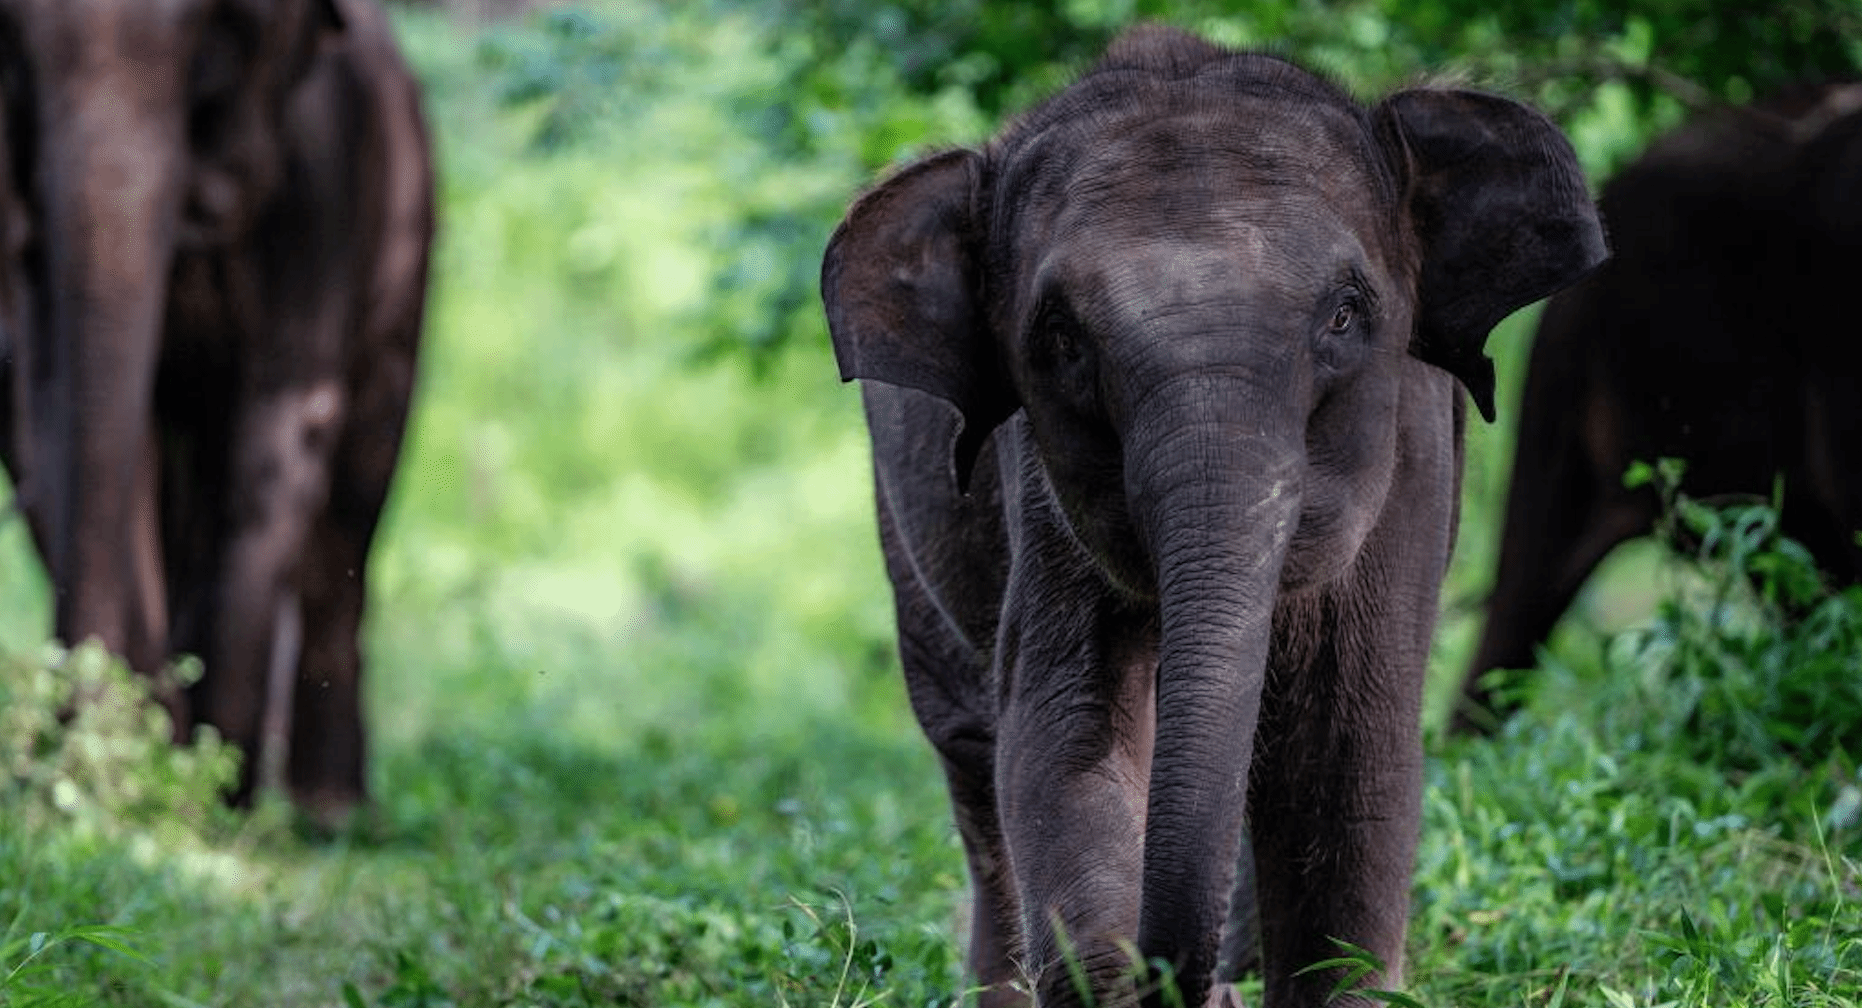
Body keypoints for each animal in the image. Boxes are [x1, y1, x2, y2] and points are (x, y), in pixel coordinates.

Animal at [0, 0, 433, 816]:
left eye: (227, 23)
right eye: (11, 43)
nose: (70, 769)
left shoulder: (319, 187)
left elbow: (282, 430)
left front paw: (216, 779)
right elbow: (52, 421)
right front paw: (151, 769)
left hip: (408, 252)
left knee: (350, 504)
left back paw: (326, 808)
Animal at [823, 23, 1608, 1006]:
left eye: (1346, 315)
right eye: (1060, 340)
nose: (1181, 979)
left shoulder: (1411, 456)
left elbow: (1346, 754)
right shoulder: (1043, 492)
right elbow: (1064, 734)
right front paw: (1111, 976)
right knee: (971, 749)